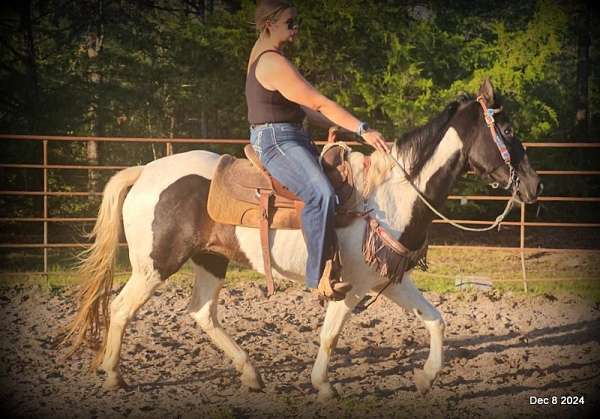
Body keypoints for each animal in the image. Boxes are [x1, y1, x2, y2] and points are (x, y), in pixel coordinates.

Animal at [63, 78, 540, 400]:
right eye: (508, 131)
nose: (533, 187)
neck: (391, 195)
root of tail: (145, 171)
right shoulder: (351, 286)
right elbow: (330, 335)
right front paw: (323, 386)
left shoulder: (390, 278)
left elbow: (435, 320)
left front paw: (425, 377)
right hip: (154, 265)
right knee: (121, 309)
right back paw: (114, 376)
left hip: (211, 260)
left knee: (201, 313)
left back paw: (250, 373)